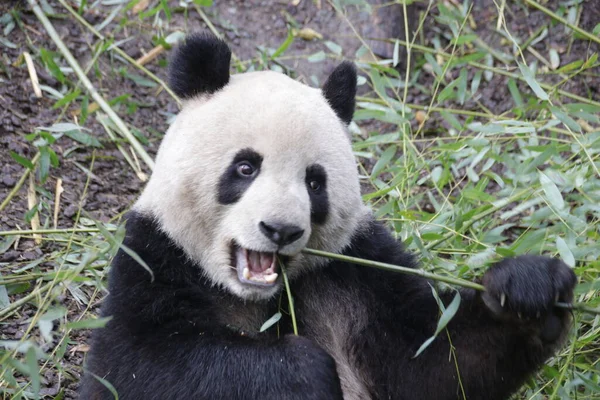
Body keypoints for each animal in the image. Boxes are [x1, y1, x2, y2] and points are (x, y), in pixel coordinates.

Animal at [79, 34, 576, 400]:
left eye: (314, 182)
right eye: (245, 168)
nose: (280, 230)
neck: (257, 297)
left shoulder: (354, 273)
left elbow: (432, 364)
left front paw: (530, 292)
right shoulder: (156, 257)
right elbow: (138, 369)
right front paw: (300, 370)